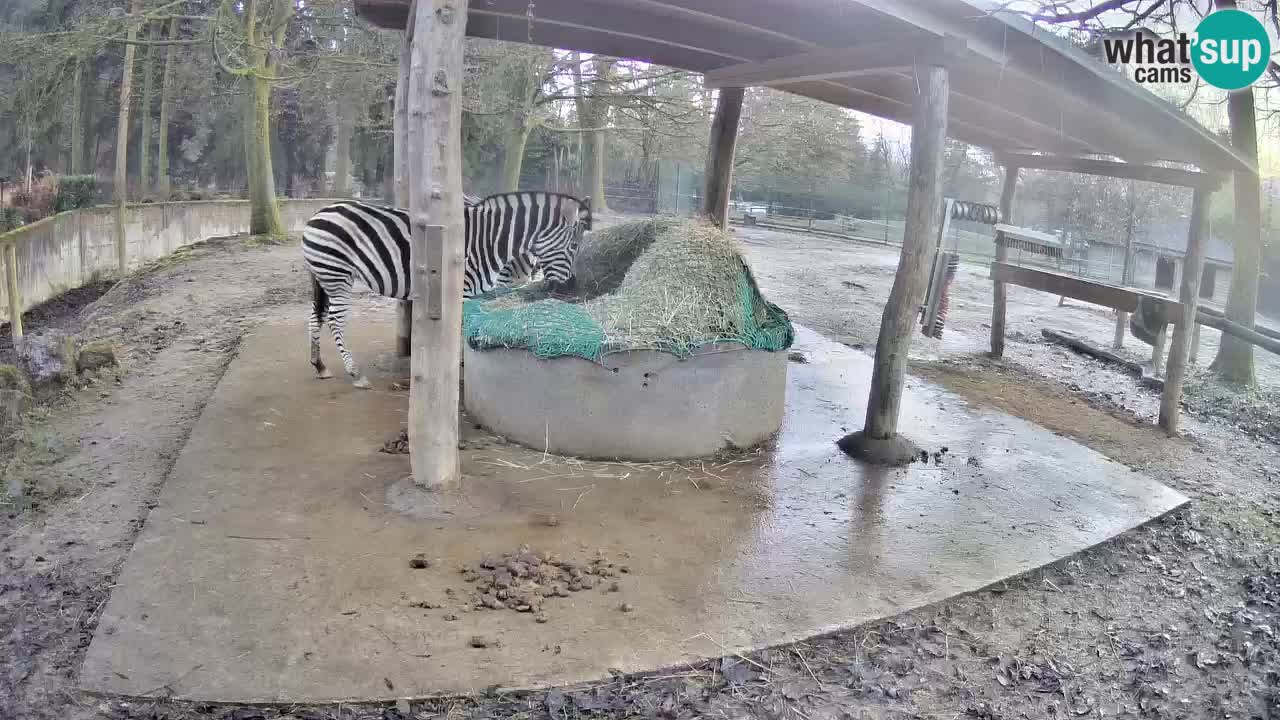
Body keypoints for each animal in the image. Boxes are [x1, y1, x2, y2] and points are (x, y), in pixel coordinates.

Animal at [301, 191, 592, 388]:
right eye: (574, 246)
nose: (571, 288)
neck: (490, 240)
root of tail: (317, 214)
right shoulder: (463, 290)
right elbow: (460, 329)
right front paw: (456, 365)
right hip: (337, 275)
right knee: (335, 321)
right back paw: (355, 373)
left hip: (323, 275)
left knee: (316, 318)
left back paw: (319, 365)